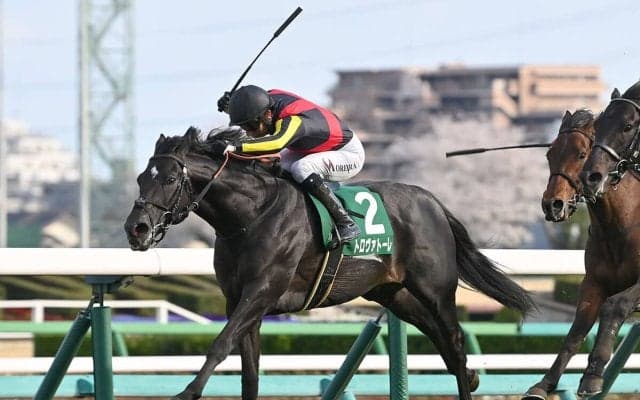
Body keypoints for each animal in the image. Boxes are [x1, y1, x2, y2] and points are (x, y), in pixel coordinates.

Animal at [124, 126, 535, 400]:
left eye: (171, 178)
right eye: (142, 177)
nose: (136, 229)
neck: (251, 215)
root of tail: (433, 201)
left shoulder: (261, 292)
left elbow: (220, 344)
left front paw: (187, 392)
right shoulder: (238, 300)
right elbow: (249, 370)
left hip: (435, 289)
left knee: (454, 339)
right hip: (393, 293)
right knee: (442, 341)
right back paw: (472, 377)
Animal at [524, 109, 600, 399]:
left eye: (582, 154)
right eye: (549, 154)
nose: (552, 204)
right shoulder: (594, 283)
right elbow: (575, 333)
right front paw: (544, 384)